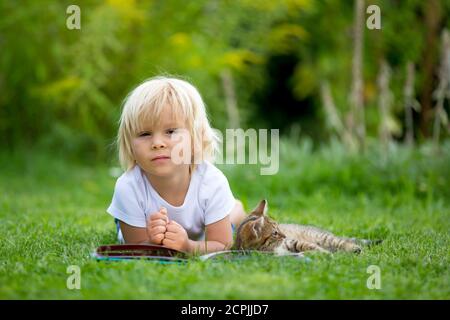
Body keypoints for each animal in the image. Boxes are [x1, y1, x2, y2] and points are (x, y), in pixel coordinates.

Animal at [234, 199, 374, 254]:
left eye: (279, 227)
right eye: (275, 233)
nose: (285, 236)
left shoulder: (293, 242)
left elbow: (308, 246)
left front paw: (325, 253)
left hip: (326, 238)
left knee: (343, 242)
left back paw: (355, 249)